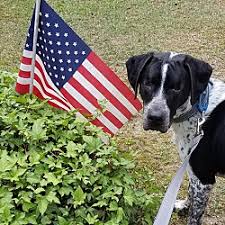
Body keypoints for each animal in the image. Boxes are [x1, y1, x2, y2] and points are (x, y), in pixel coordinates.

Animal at [125, 51, 225, 225]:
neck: (198, 110)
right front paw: (184, 206)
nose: (155, 118)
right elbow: (190, 191)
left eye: (177, 88)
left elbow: (194, 215)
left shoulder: (204, 180)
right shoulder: (193, 173)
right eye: (148, 83)